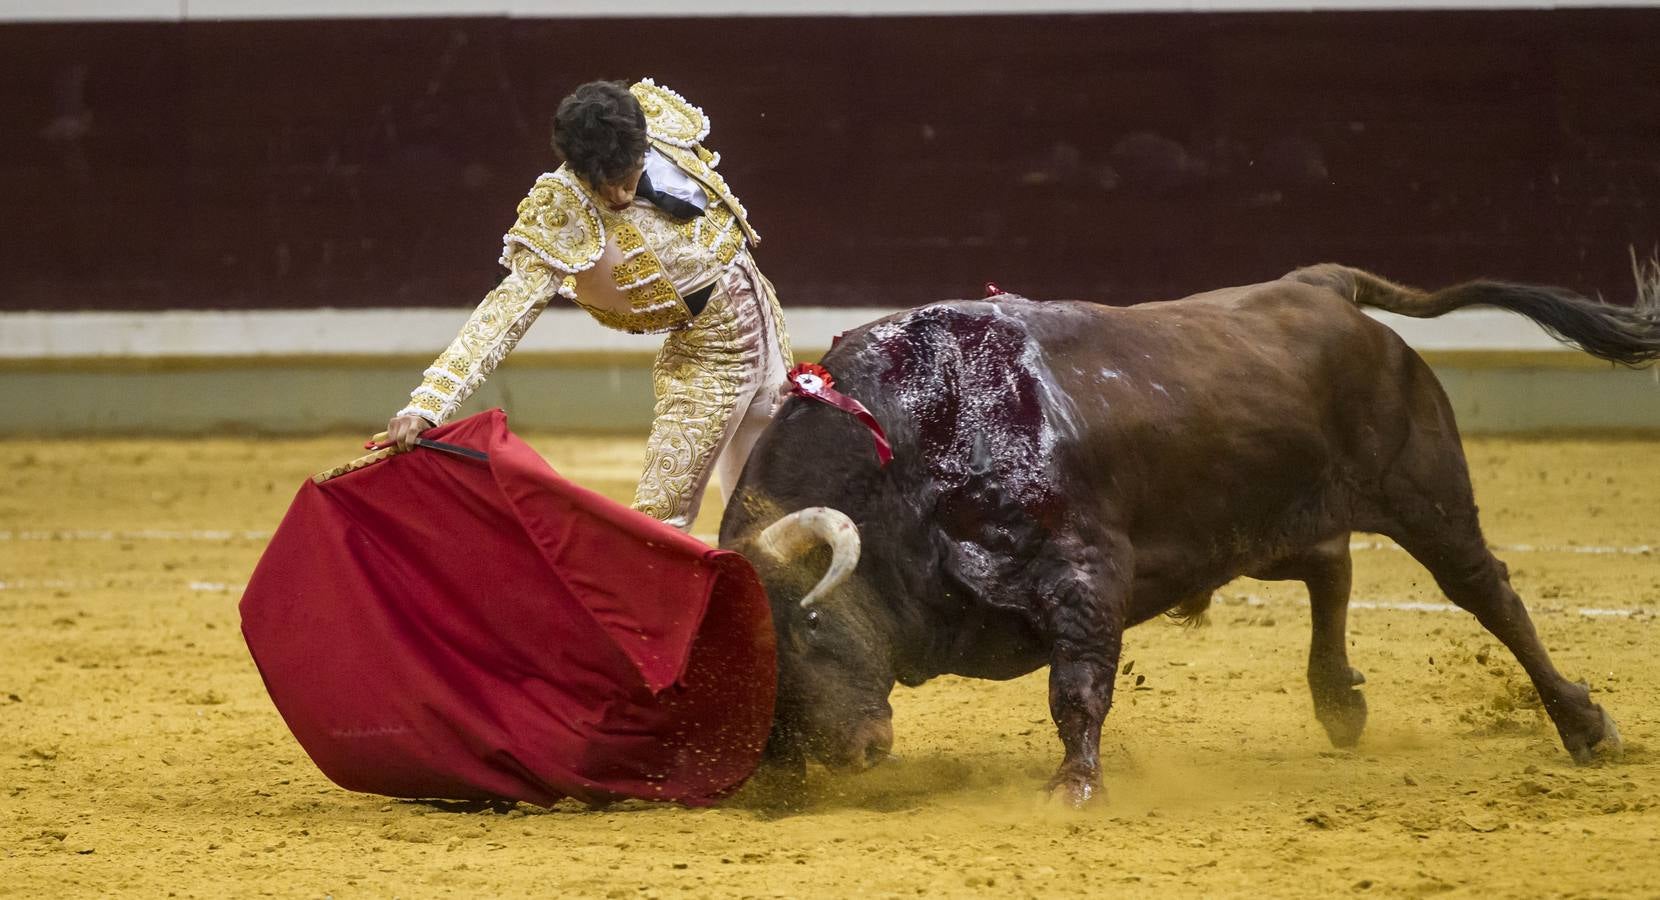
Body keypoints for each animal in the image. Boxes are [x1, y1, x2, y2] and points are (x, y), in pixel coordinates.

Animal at [720, 264, 1653, 807]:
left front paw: (1073, 789)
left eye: (811, 624)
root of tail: (1323, 289)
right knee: (1330, 566)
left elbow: (1077, 689)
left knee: (1488, 594)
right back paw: (1338, 702)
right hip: (1255, 521)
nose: (856, 752)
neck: (912, 456)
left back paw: (1584, 727)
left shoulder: (1087, 571)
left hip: (1427, 496)